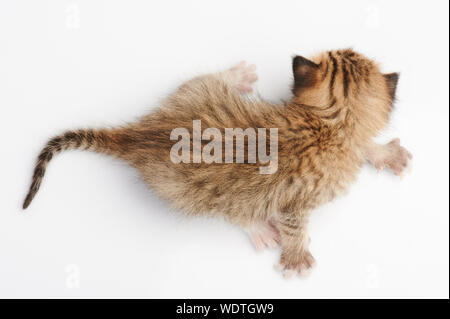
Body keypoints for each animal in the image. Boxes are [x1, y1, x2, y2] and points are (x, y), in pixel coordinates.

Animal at [23, 48, 412, 278]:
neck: (333, 122)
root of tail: (141, 133)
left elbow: (365, 147)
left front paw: (385, 153)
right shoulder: (297, 201)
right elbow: (294, 225)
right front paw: (297, 257)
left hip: (190, 93)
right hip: (192, 194)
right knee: (229, 210)